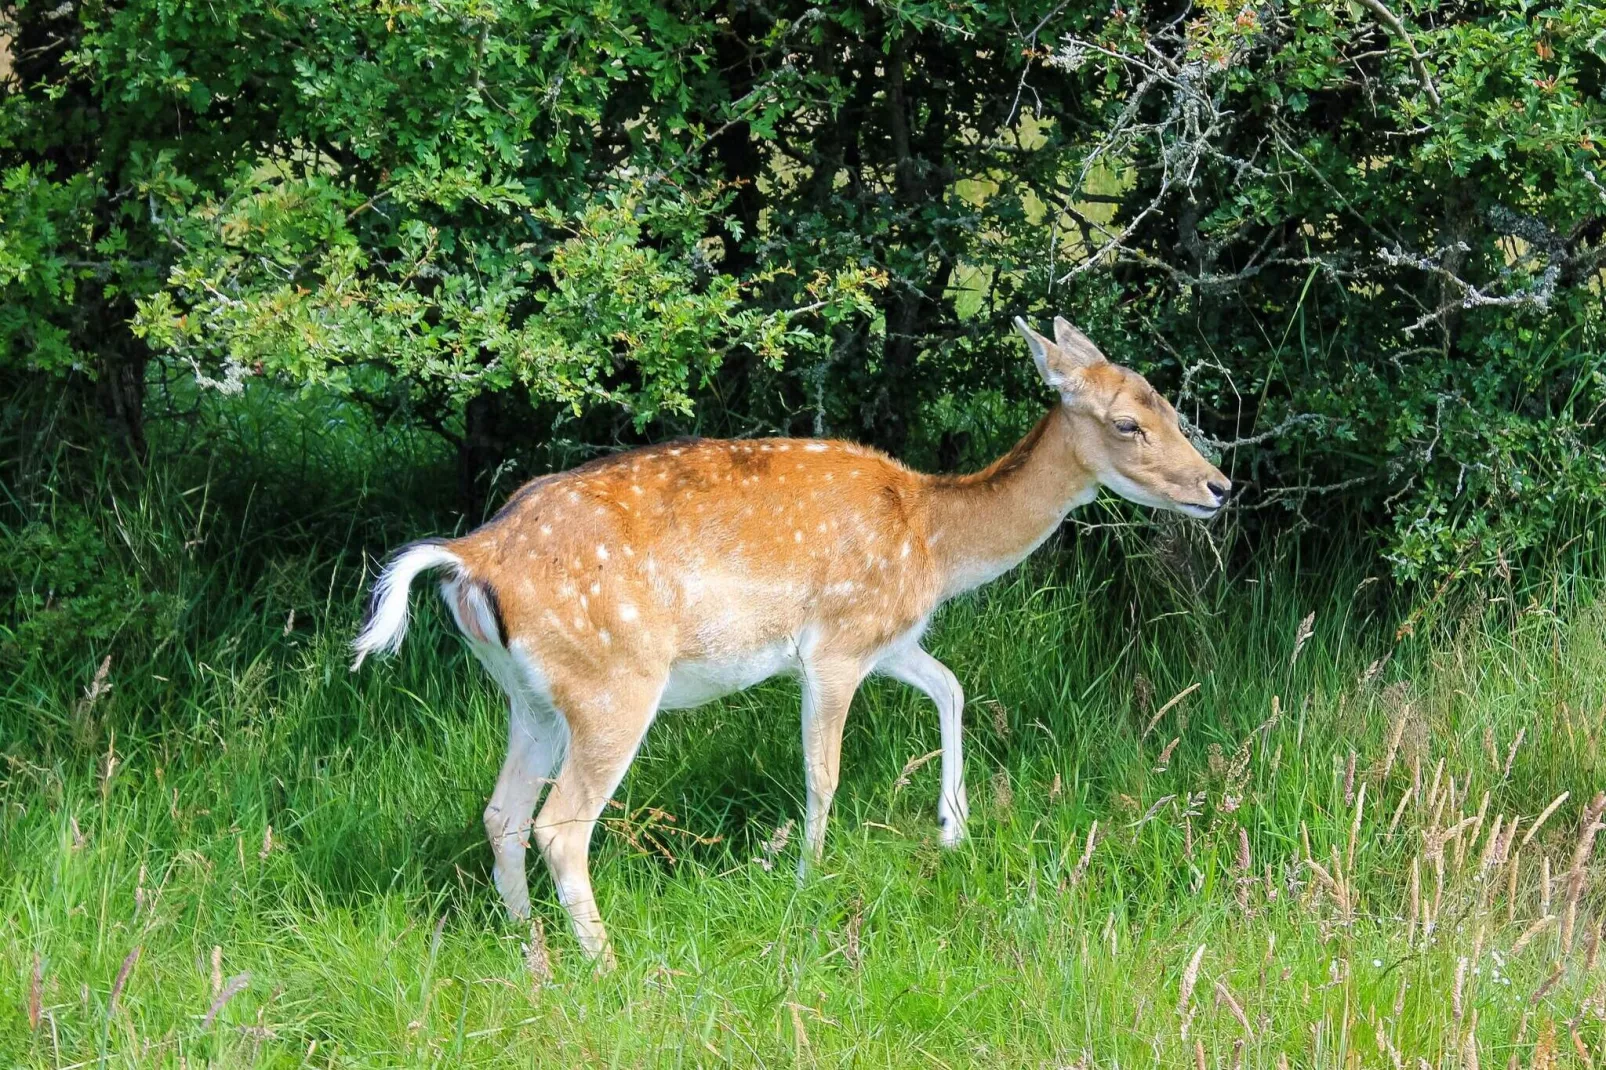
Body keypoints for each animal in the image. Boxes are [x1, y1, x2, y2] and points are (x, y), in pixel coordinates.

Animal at [351, 314, 1226, 957]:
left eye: (1172, 407)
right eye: (1127, 423)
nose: (1219, 485)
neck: (934, 541)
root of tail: (469, 557)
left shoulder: (888, 637)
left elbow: (951, 686)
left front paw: (954, 828)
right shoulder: (834, 645)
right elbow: (823, 774)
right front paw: (808, 884)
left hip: (530, 695)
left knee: (502, 814)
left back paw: (531, 946)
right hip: (613, 684)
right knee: (559, 825)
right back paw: (605, 962)